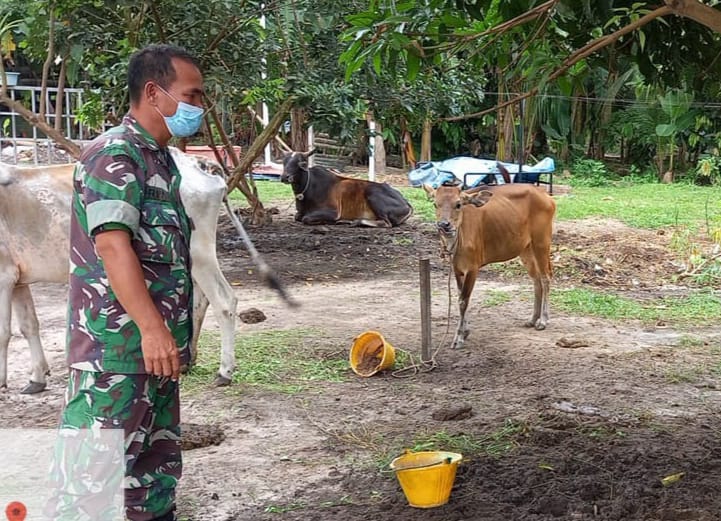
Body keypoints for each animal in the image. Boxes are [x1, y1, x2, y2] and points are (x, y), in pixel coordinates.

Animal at [0, 150, 242, 394]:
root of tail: (198, 162)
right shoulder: (19, 281)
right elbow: (29, 325)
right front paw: (37, 378)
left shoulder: (4, 277)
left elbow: (4, 332)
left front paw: (2, 382)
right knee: (200, 303)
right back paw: (187, 362)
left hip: (200, 253)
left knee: (224, 301)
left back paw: (224, 372)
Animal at [422, 183, 556, 350]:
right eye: (435, 204)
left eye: (458, 204)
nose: (444, 225)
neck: (458, 241)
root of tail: (547, 196)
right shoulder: (457, 269)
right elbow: (460, 296)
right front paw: (465, 331)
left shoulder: (473, 268)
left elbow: (463, 301)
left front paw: (458, 338)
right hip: (525, 249)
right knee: (536, 280)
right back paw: (532, 319)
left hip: (541, 242)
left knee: (545, 278)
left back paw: (543, 320)